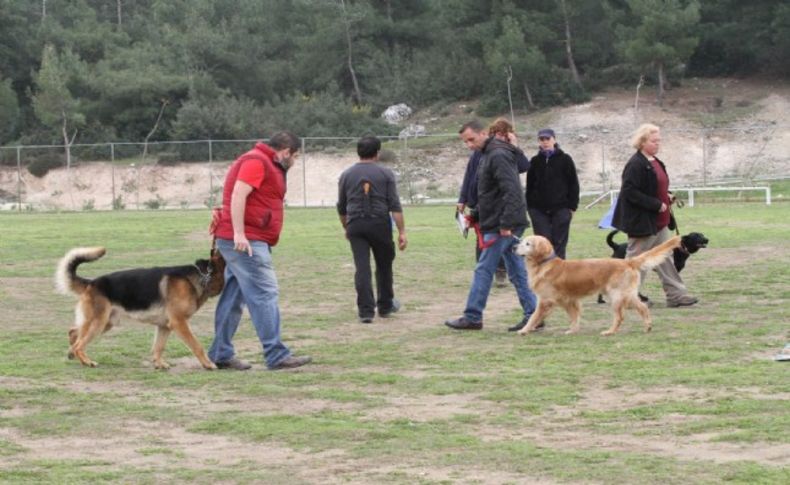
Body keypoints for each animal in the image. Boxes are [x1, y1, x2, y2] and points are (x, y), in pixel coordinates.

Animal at [55, 248, 226, 368]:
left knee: (74, 333)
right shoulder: (179, 323)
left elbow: (158, 347)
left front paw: (158, 363)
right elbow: (197, 345)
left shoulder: (165, 326)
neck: (203, 276)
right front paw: (208, 364)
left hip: (104, 323)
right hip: (98, 323)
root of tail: (91, 283)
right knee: (79, 344)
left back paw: (72, 354)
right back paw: (87, 361)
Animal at [512, 235, 680, 334]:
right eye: (522, 241)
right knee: (643, 307)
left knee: (620, 316)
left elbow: (534, 316)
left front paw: (525, 330)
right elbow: (574, 316)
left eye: (527, 244)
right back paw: (648, 326)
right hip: (627, 295)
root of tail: (628, 261)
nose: (513, 247)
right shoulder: (569, 300)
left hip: (617, 296)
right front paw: (573, 330)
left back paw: (610, 331)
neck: (544, 263)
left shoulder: (545, 300)